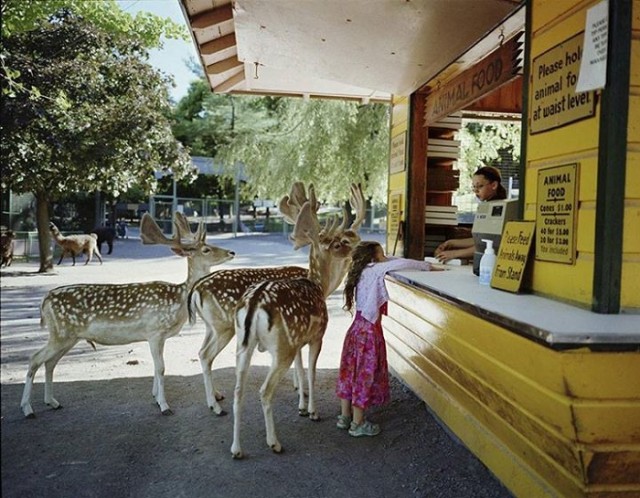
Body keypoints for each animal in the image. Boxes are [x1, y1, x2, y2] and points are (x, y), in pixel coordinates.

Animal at [19, 212, 235, 418]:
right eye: (206, 249)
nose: (232, 252)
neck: (179, 298)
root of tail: (45, 300)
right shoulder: (155, 331)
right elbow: (161, 368)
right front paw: (164, 406)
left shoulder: (158, 336)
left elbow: (156, 368)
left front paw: (155, 397)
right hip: (60, 334)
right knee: (34, 358)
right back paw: (28, 409)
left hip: (68, 337)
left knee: (49, 363)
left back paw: (52, 402)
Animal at [186, 183, 364, 416]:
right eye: (341, 242)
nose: (359, 246)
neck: (321, 285)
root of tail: (196, 288)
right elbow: (303, 365)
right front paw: (304, 399)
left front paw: (301, 394)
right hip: (224, 326)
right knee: (207, 355)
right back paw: (215, 406)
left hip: (212, 326)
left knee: (201, 353)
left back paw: (216, 396)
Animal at [230, 183, 364, 460]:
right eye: (339, 243)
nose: (358, 248)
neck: (319, 286)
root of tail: (253, 303)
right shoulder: (317, 335)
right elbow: (311, 372)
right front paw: (312, 411)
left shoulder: (299, 340)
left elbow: (301, 369)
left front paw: (301, 406)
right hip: (282, 347)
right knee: (264, 391)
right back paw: (274, 442)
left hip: (244, 344)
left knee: (238, 391)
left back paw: (236, 449)